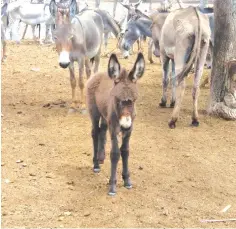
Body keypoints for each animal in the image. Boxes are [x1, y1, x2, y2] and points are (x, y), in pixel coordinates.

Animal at [86, 53, 145, 195]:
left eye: (134, 100)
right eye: (117, 100)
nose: (124, 126)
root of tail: (99, 73)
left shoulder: (130, 130)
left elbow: (125, 151)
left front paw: (127, 180)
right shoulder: (114, 128)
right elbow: (115, 153)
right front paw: (112, 186)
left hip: (105, 116)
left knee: (102, 130)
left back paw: (101, 157)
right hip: (94, 112)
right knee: (95, 133)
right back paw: (96, 164)